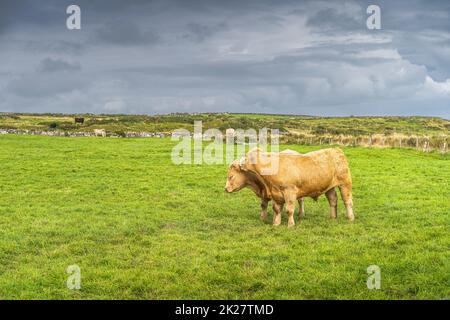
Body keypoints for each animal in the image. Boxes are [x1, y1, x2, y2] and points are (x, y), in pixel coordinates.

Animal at [225, 148, 356, 226]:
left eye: (231, 177)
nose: (225, 189)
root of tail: (336, 150)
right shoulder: (276, 194)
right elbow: (276, 209)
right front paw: (276, 224)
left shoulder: (290, 192)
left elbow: (289, 209)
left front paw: (290, 224)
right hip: (329, 187)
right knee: (333, 200)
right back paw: (333, 217)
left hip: (345, 183)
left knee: (347, 201)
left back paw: (350, 217)